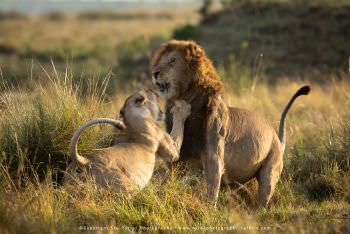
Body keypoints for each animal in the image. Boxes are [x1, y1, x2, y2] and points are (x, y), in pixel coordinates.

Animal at [150, 40, 308, 207]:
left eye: (172, 60)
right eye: (160, 60)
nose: (154, 73)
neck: (188, 96)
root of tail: (277, 138)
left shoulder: (214, 158)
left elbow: (211, 193)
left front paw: (208, 211)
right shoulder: (178, 161)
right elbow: (167, 179)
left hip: (270, 171)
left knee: (263, 198)